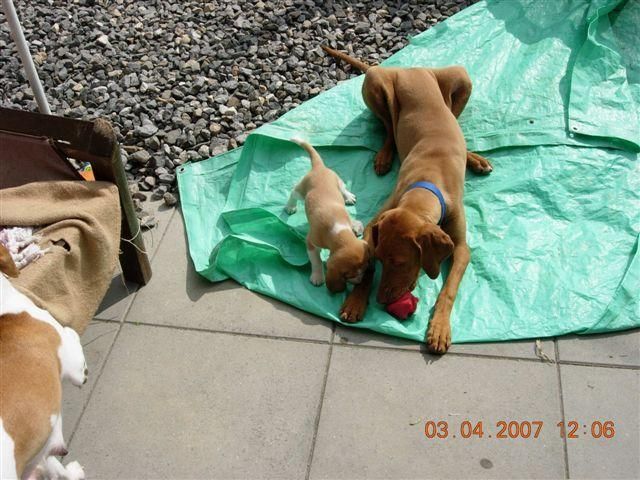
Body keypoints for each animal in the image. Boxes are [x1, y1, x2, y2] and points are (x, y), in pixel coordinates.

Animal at [285, 138, 370, 292]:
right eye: (349, 275)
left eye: (365, 267)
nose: (360, 282)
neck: (339, 230)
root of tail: (319, 168)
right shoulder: (311, 243)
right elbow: (316, 261)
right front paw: (318, 277)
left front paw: (356, 226)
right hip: (301, 192)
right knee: (293, 192)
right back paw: (290, 206)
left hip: (338, 181)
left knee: (343, 189)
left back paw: (348, 197)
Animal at [322, 46, 493, 354]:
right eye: (381, 259)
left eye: (401, 262)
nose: (380, 302)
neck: (426, 184)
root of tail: (411, 67)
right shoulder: (375, 224)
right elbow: (366, 261)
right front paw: (356, 301)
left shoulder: (462, 247)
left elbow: (449, 289)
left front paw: (439, 328)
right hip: (376, 83)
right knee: (390, 126)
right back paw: (384, 156)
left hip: (460, 77)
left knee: (450, 118)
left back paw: (474, 158)